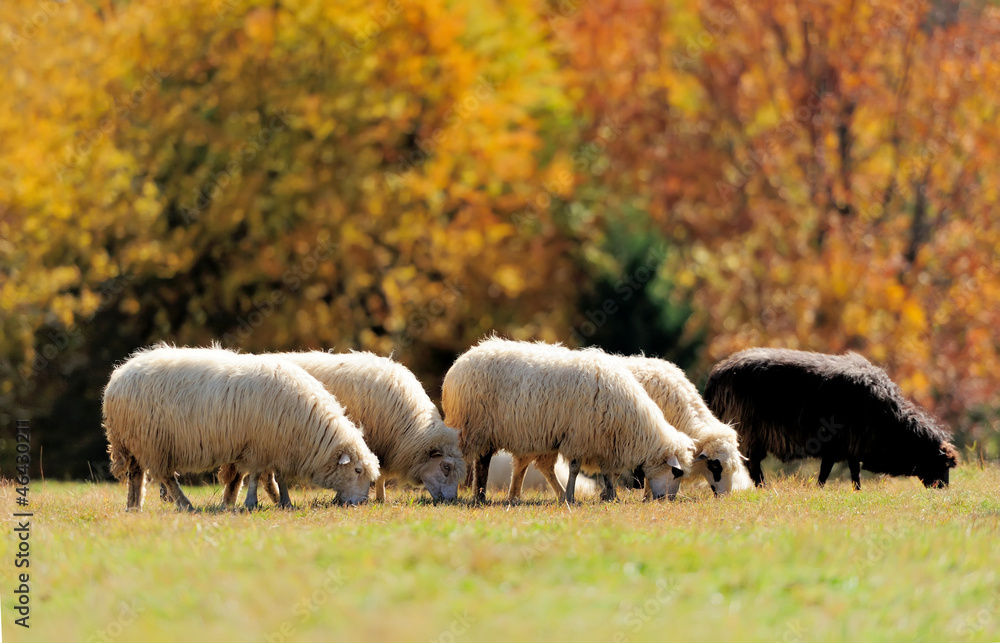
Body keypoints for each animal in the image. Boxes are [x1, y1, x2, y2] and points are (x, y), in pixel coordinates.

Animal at [104, 344, 378, 510]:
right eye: (357, 470)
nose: (361, 503)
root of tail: (118, 377)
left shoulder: (271, 446)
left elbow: (256, 477)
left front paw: (274, 502)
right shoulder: (260, 446)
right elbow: (255, 476)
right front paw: (250, 503)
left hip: (135, 441)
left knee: (136, 475)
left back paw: (134, 506)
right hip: (153, 441)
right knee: (166, 477)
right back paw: (185, 504)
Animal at [221, 352, 462, 504]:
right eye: (446, 467)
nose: (452, 501)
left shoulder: (383, 443)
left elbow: (379, 473)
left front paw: (380, 498)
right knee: (242, 473)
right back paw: (232, 501)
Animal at [442, 340, 692, 506]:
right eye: (676, 472)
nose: (668, 500)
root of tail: (460, 361)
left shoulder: (603, 442)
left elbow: (607, 472)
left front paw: (610, 496)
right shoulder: (579, 437)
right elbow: (575, 468)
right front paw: (572, 496)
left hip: (491, 432)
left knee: (485, 462)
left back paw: (483, 496)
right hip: (471, 426)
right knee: (461, 459)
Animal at [700, 350, 956, 490]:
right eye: (942, 465)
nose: (944, 489)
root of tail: (716, 376)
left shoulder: (851, 446)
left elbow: (853, 471)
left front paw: (857, 492)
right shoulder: (837, 444)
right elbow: (827, 472)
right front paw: (821, 490)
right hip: (749, 431)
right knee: (753, 465)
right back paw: (763, 488)